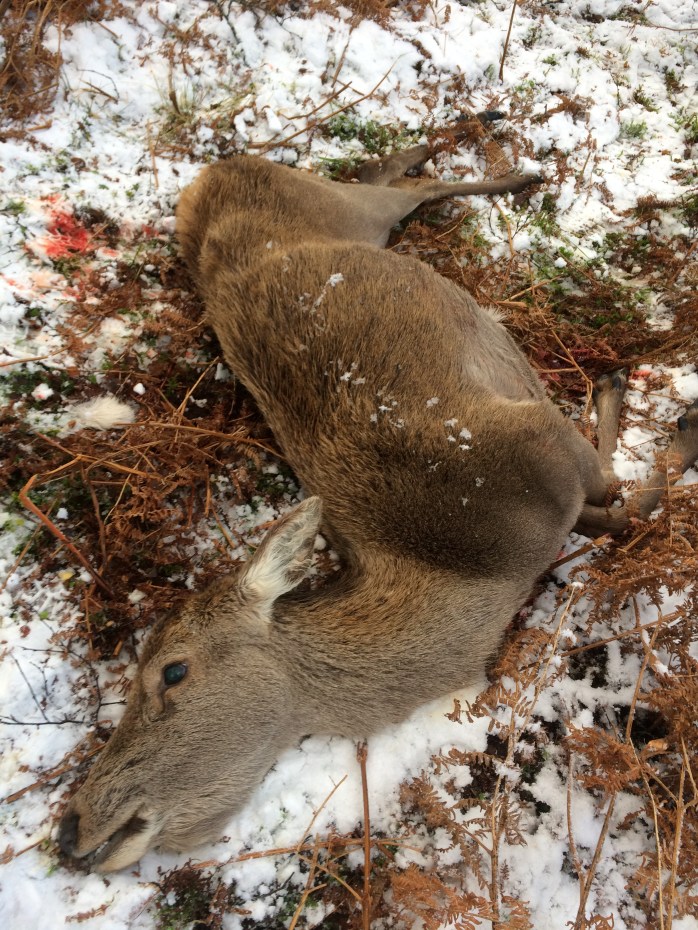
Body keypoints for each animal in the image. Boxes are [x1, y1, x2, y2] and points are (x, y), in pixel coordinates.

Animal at [58, 132, 698, 873]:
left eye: (172, 670)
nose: (70, 828)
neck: (475, 572)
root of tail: (210, 179)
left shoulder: (542, 443)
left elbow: (623, 498)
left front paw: (654, 409)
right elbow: (619, 512)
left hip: (343, 209)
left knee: (399, 186)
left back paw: (499, 161)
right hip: (349, 216)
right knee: (388, 180)